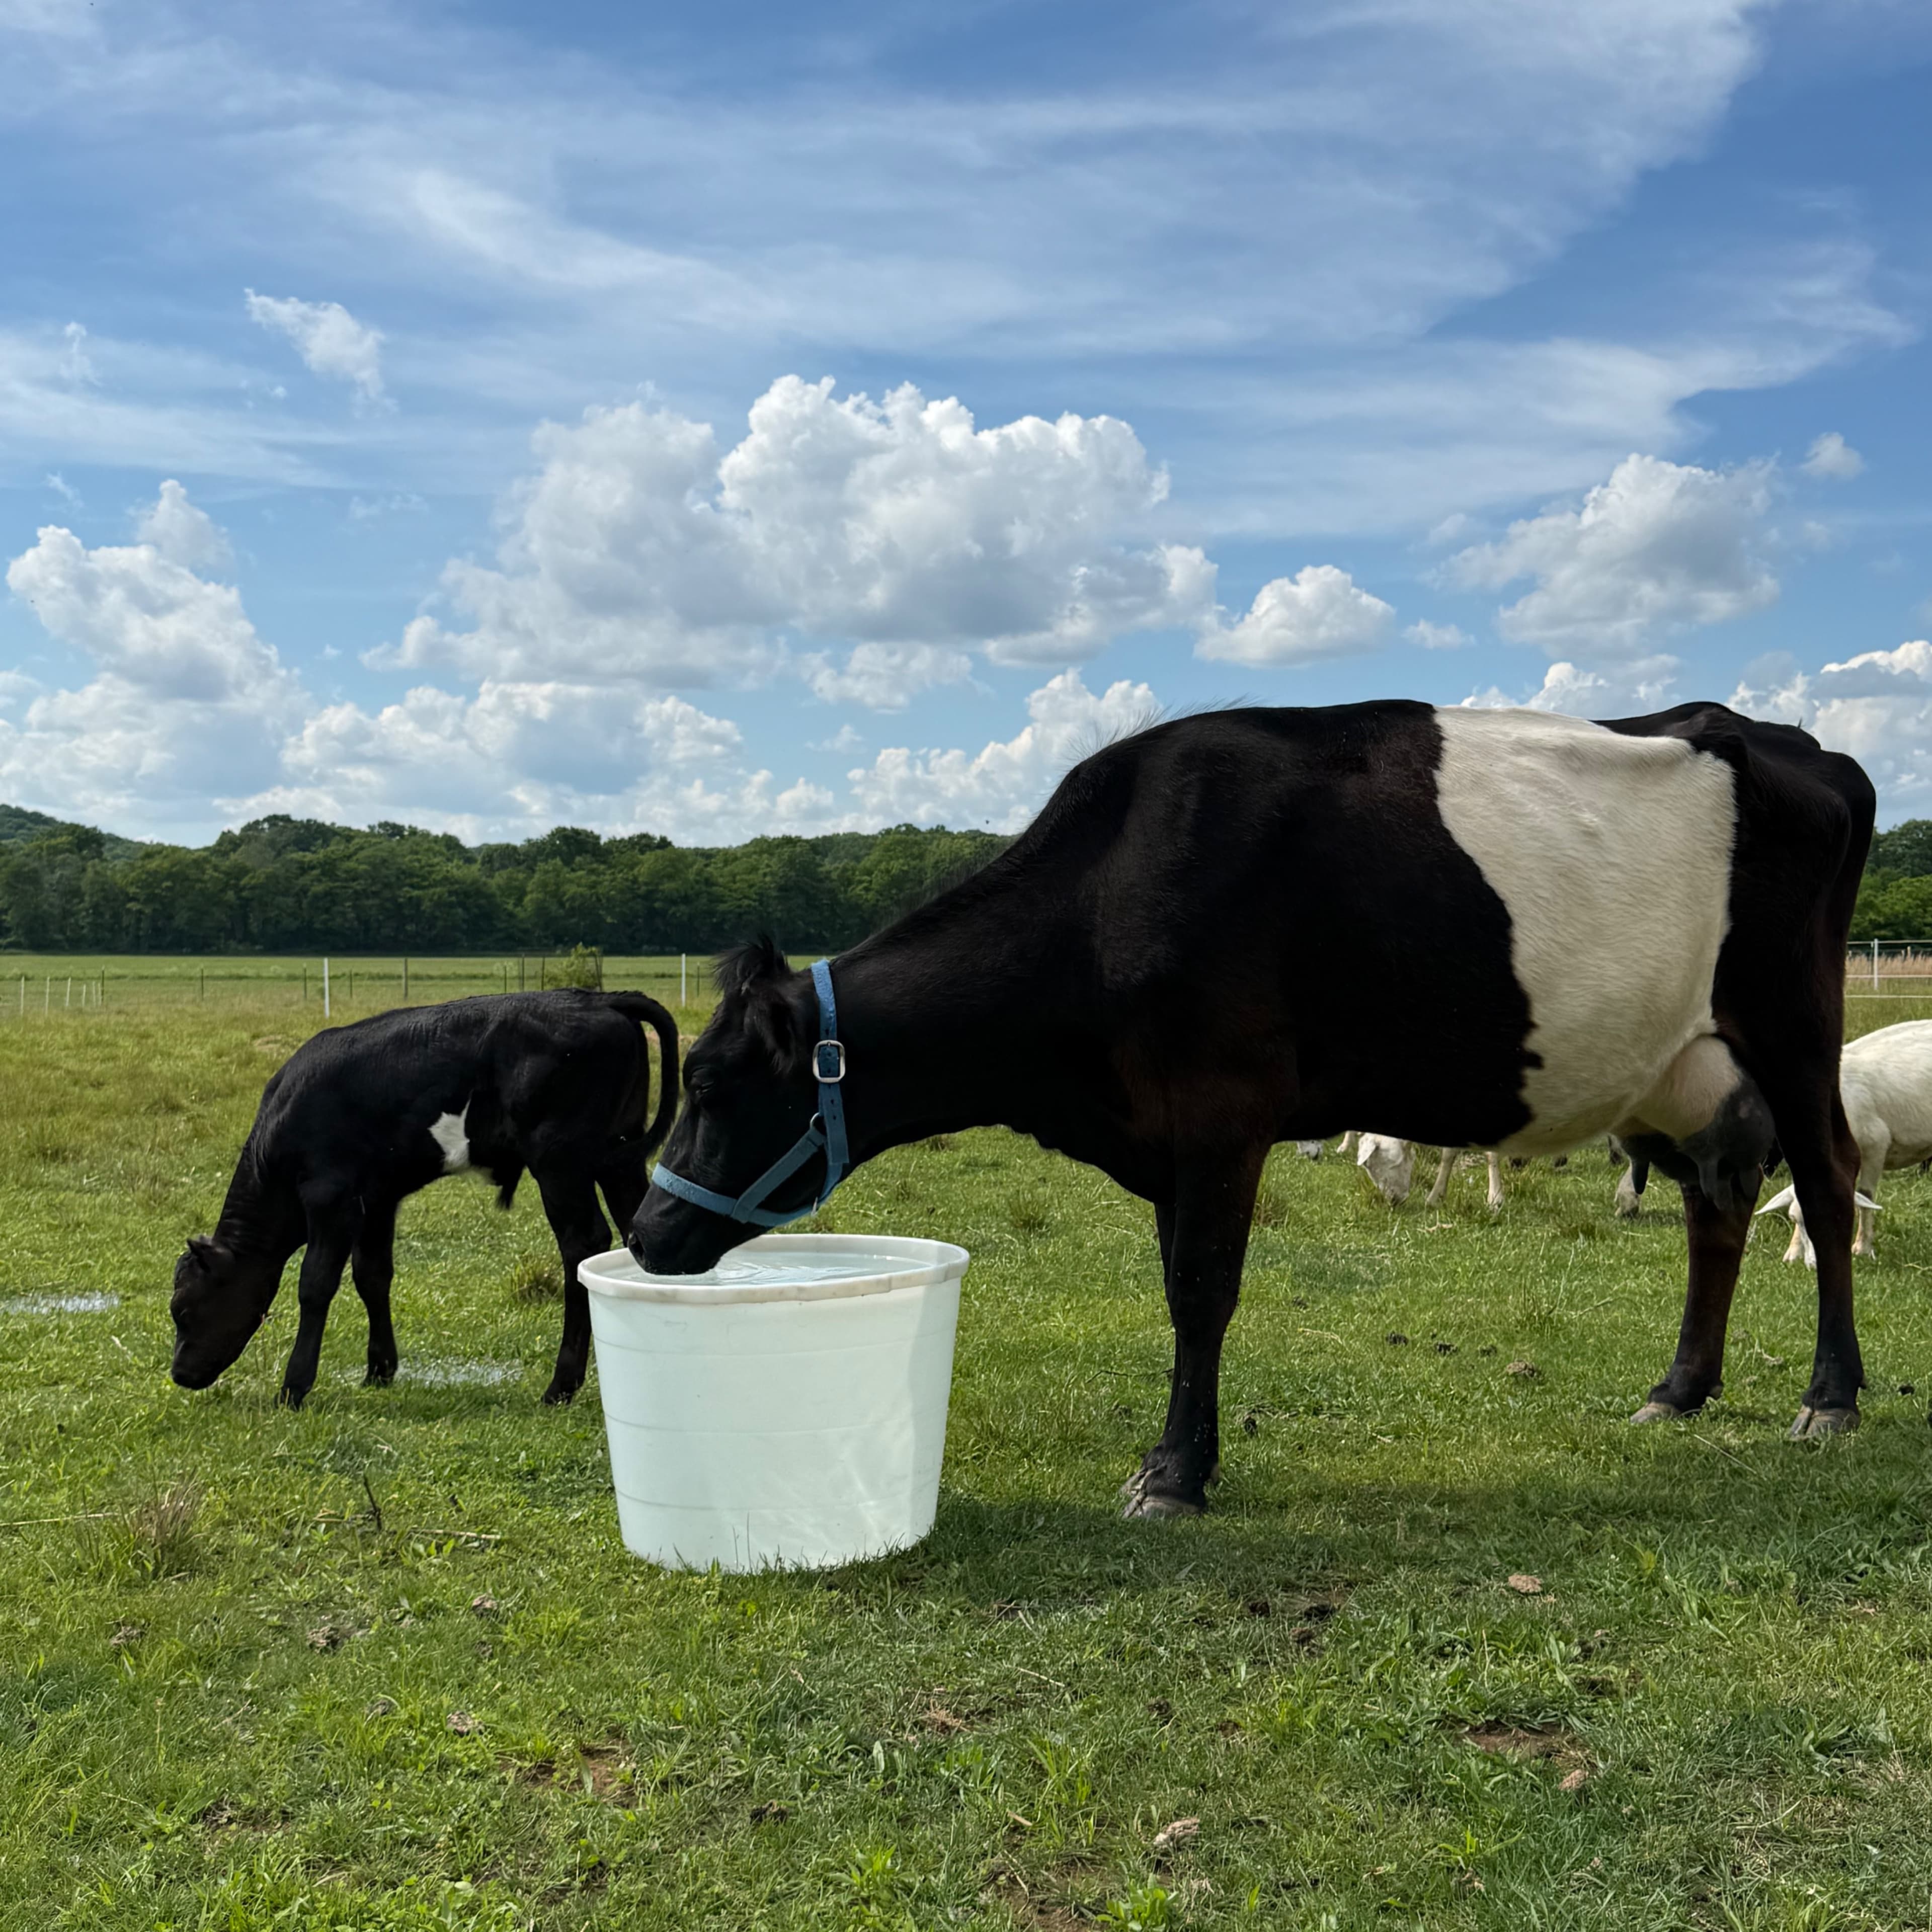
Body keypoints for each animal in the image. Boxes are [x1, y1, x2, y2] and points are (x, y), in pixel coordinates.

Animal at [171, 989, 678, 1409]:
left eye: (182, 1310)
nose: (179, 1374)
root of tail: (599, 998)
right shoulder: (376, 1200)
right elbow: (372, 1276)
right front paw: (379, 1370)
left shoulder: (330, 1198)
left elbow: (315, 1285)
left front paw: (294, 1387)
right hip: (618, 1159)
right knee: (638, 1232)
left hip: (560, 1163)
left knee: (582, 1244)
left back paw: (561, 1386)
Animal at [631, 702, 1873, 1518]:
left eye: (708, 1086)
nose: (645, 1232)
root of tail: (1793, 742)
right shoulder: (1168, 1133)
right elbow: (1182, 1280)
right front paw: (1186, 1459)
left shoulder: (1224, 1108)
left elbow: (1201, 1289)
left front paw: (1175, 1474)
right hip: (1681, 1069)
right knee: (1716, 1207)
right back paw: (1681, 1390)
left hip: (1795, 1029)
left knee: (1825, 1182)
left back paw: (1831, 1400)